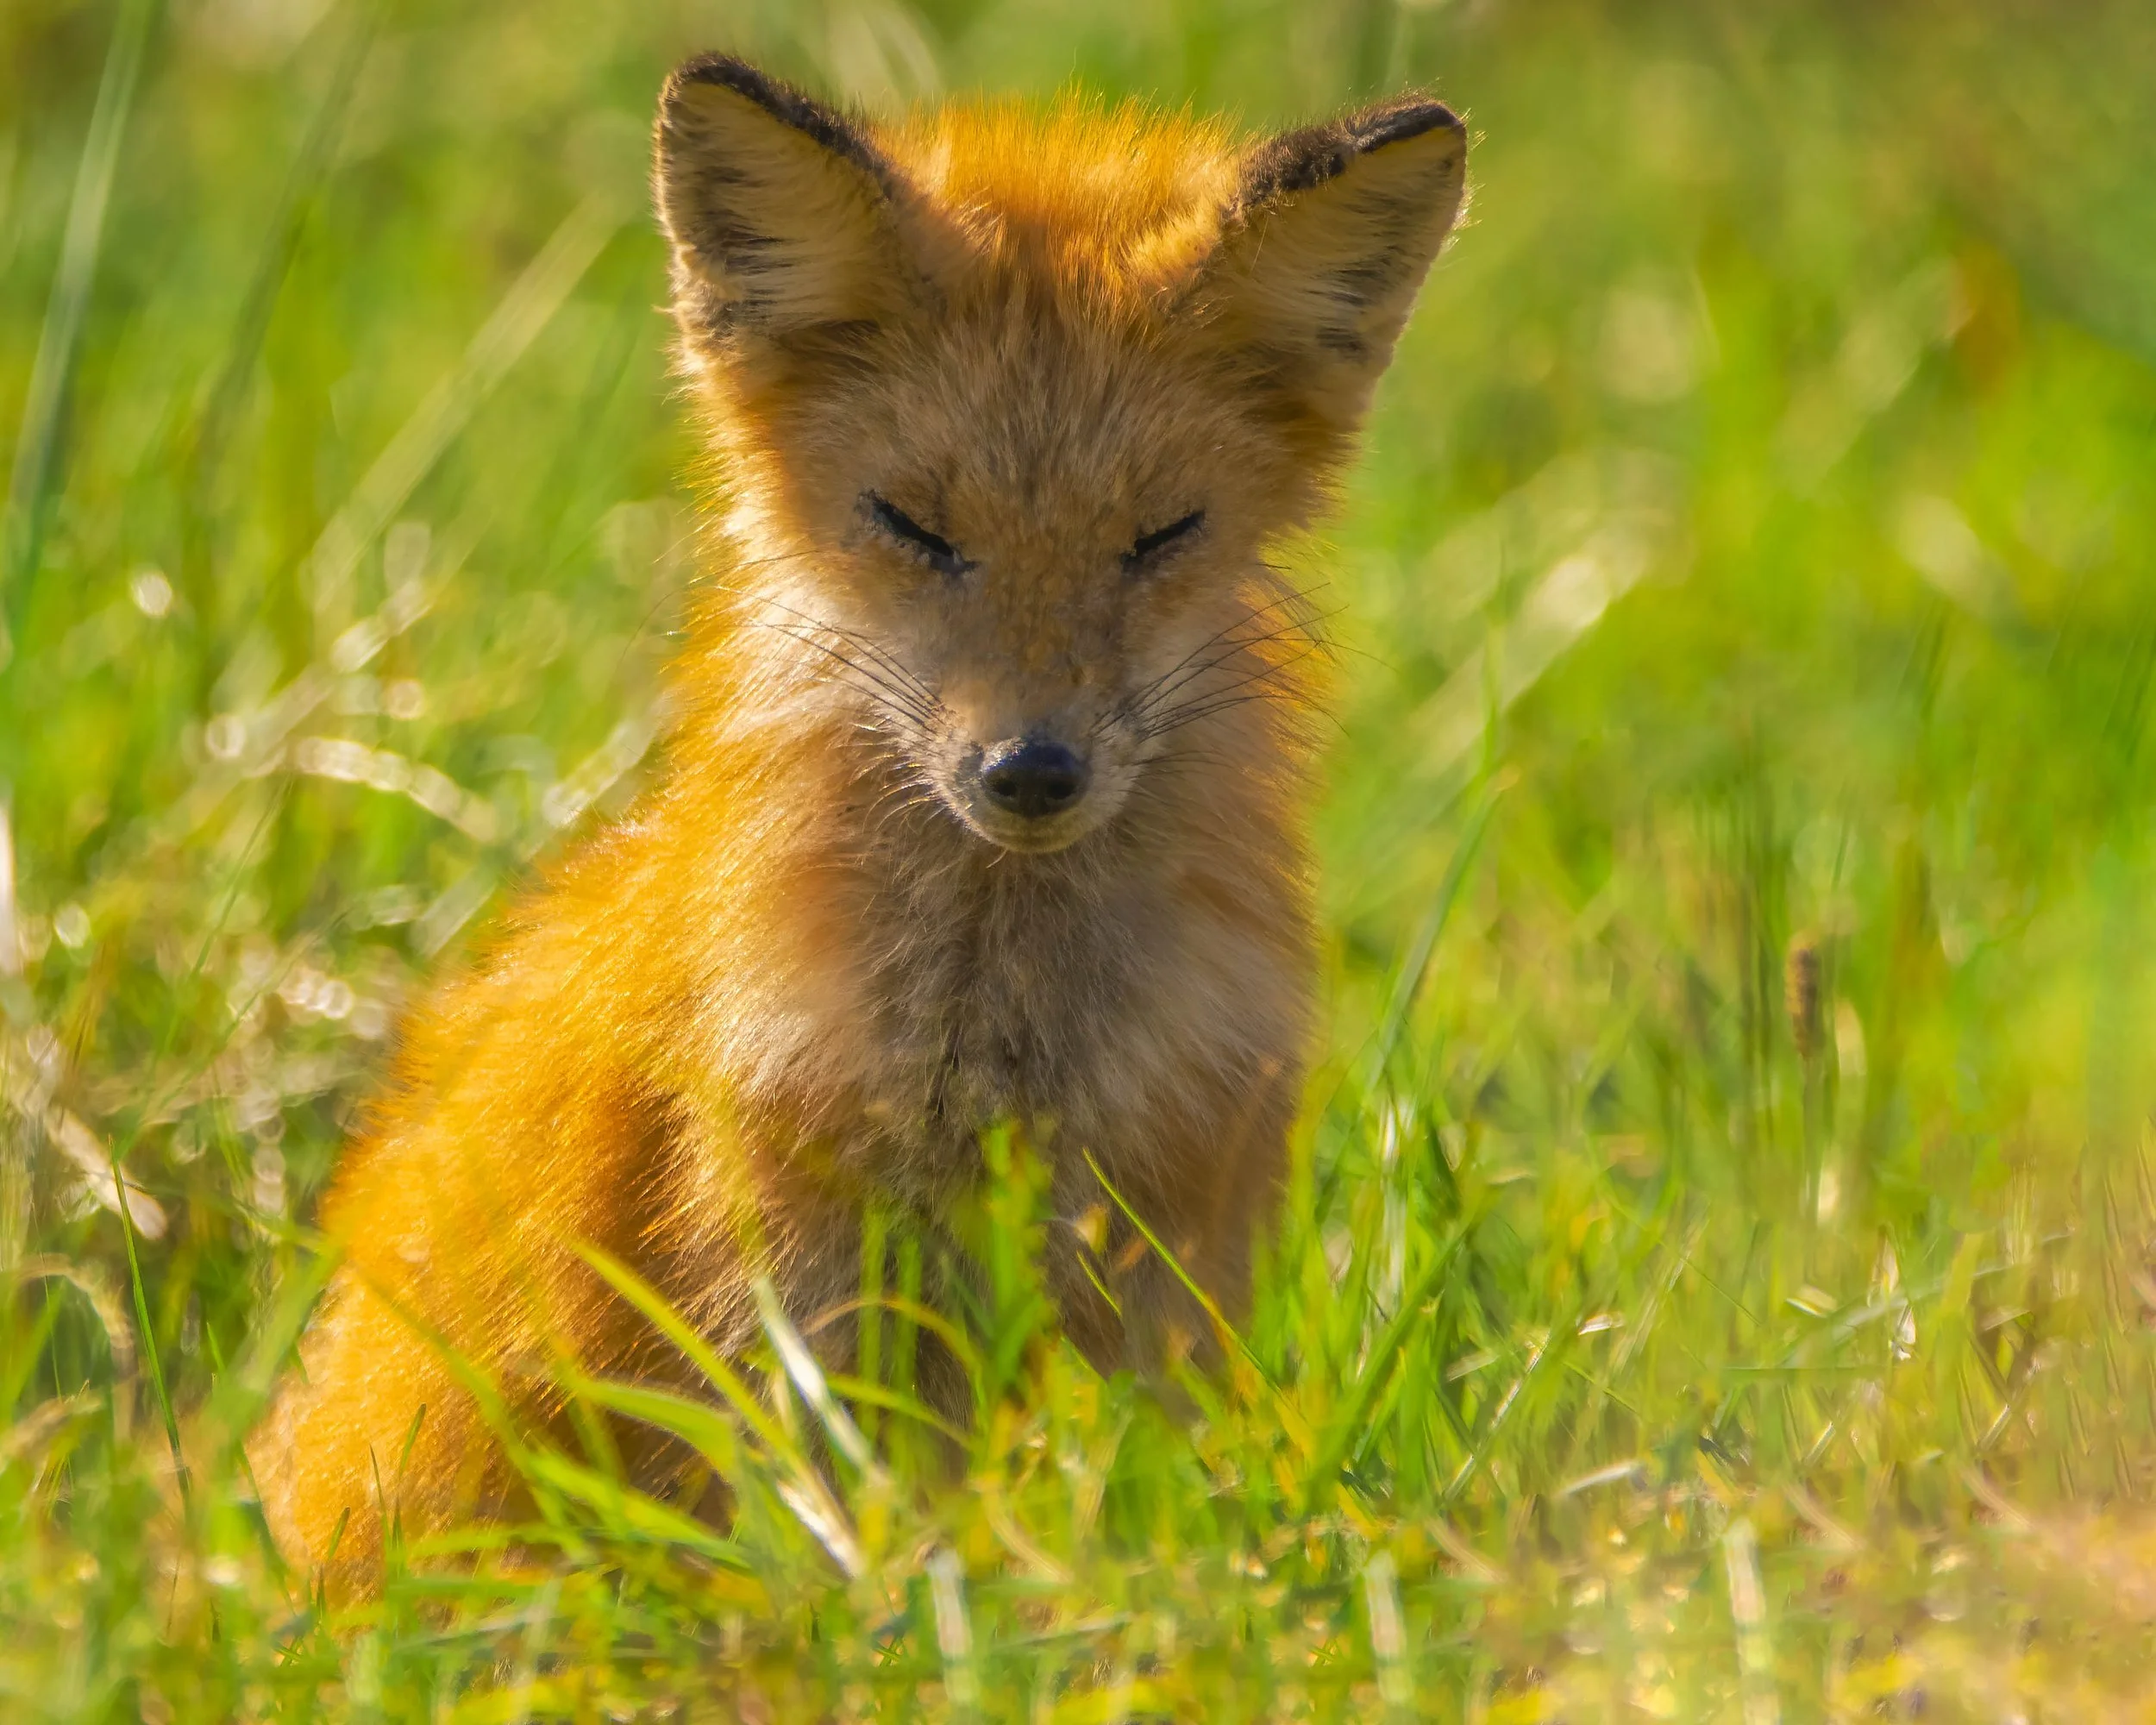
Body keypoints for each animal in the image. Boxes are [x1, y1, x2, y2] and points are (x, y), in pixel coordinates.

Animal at [252, 54, 1467, 1583]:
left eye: (1162, 535)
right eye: (914, 527)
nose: (1030, 771)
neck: (1003, 1041)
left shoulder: (1170, 1249)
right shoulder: (786, 1261)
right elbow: (834, 1536)